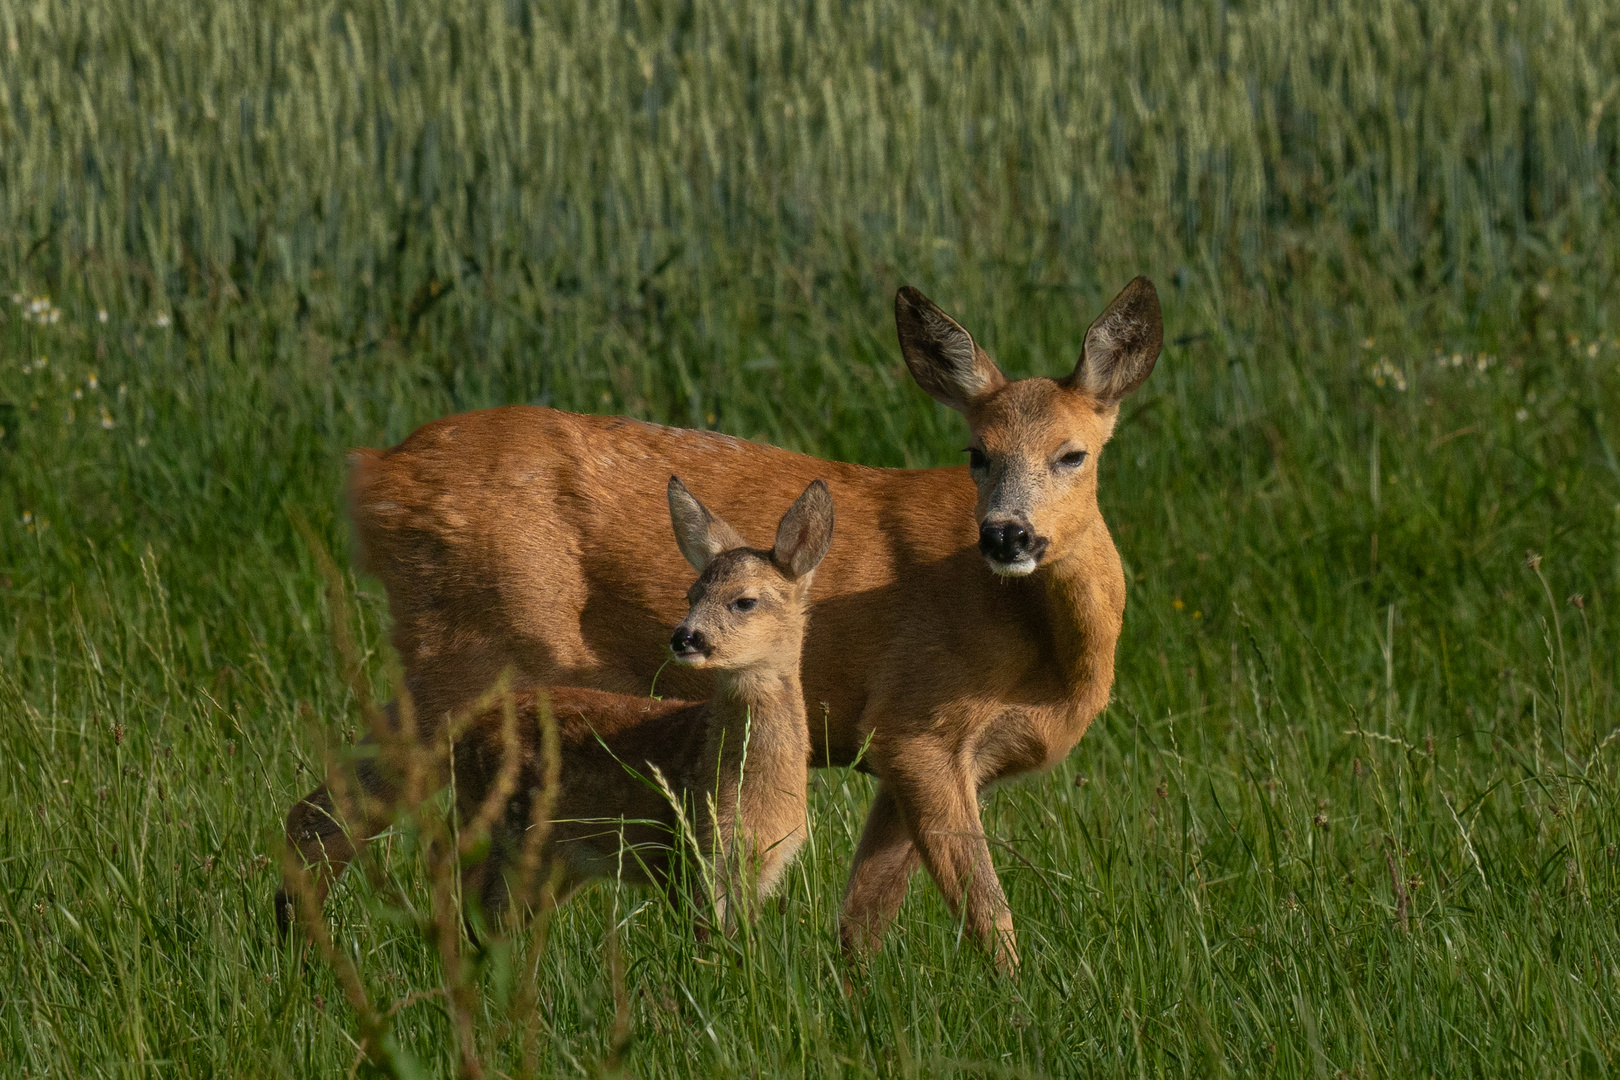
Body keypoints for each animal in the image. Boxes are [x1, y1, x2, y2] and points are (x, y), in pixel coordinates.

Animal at [278, 479, 829, 932]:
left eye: (745, 600)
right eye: (691, 593)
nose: (684, 637)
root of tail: (466, 728)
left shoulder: (756, 866)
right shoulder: (689, 849)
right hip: (509, 827)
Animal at [351, 278, 1166, 971]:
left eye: (1073, 454)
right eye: (977, 453)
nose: (1007, 535)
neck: (1049, 653)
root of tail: (376, 473)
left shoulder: (928, 755)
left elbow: (862, 918)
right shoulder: (918, 721)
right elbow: (985, 911)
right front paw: (1016, 1002)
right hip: (467, 653)